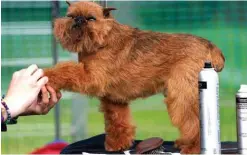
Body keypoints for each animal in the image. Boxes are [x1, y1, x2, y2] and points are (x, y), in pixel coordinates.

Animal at [43, 1, 225, 154]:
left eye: (91, 18)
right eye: (70, 16)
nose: (79, 20)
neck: (104, 39)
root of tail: (210, 46)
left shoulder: (91, 77)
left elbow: (66, 70)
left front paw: (47, 75)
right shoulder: (113, 100)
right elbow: (117, 121)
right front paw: (118, 145)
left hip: (183, 95)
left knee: (195, 122)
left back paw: (193, 148)